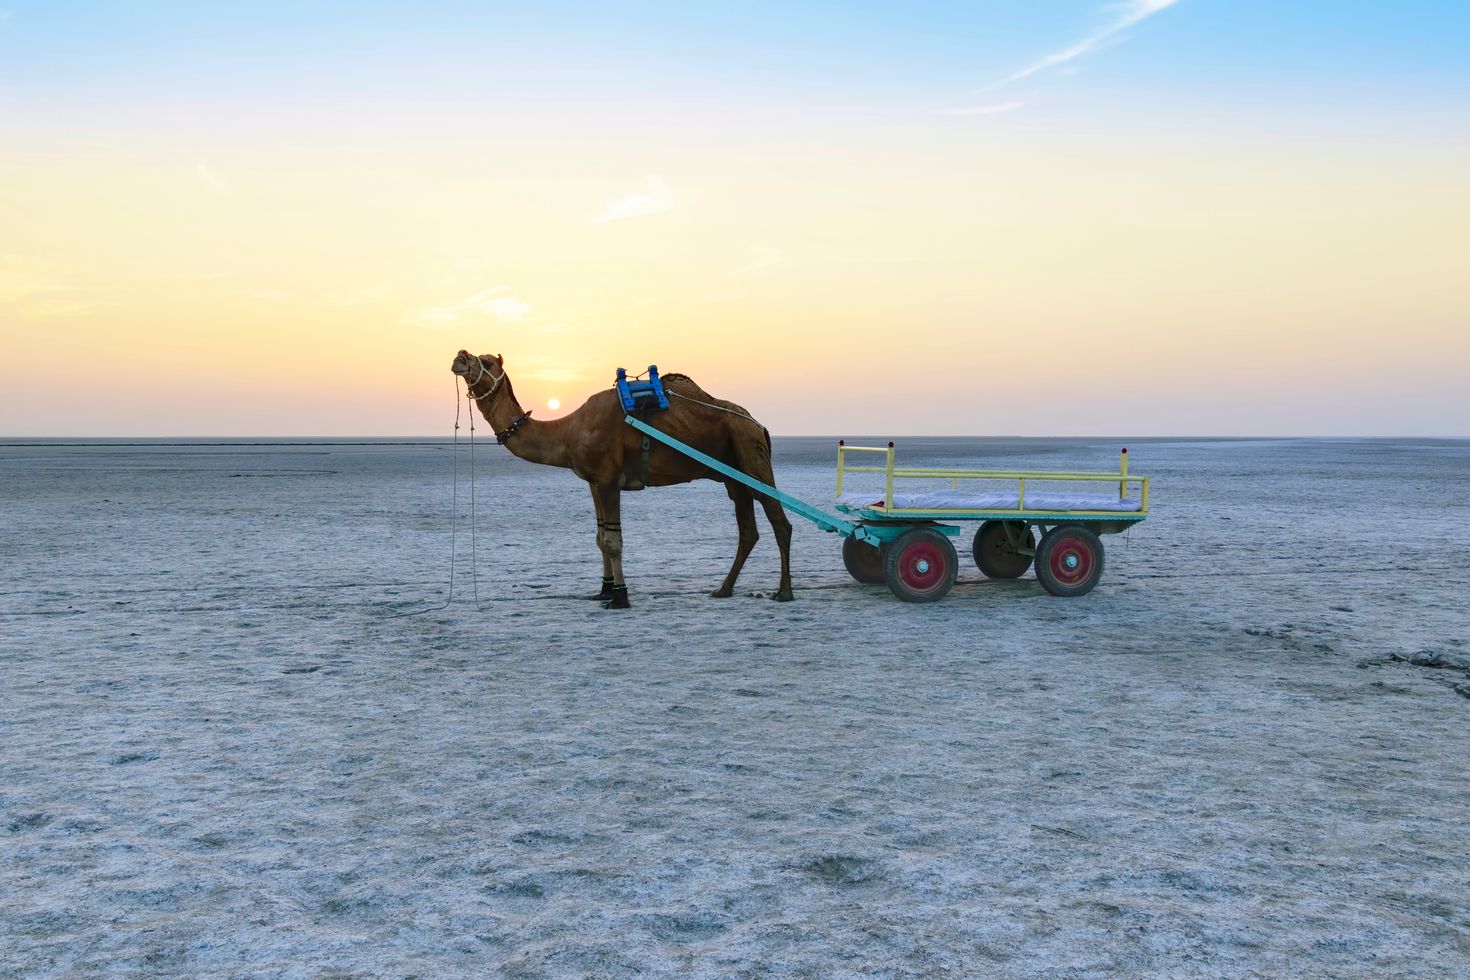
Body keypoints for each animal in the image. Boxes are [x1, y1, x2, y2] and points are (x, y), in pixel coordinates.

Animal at [450, 350, 794, 608]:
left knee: (779, 519)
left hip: (749, 449)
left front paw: (620, 597)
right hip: (732, 471)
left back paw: (784, 592)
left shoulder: (607, 480)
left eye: (487, 362)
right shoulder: (592, 482)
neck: (568, 431)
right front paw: (603, 590)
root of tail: (757, 422)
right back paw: (723, 589)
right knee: (748, 529)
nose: (460, 356)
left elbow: (613, 540)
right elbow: (599, 537)